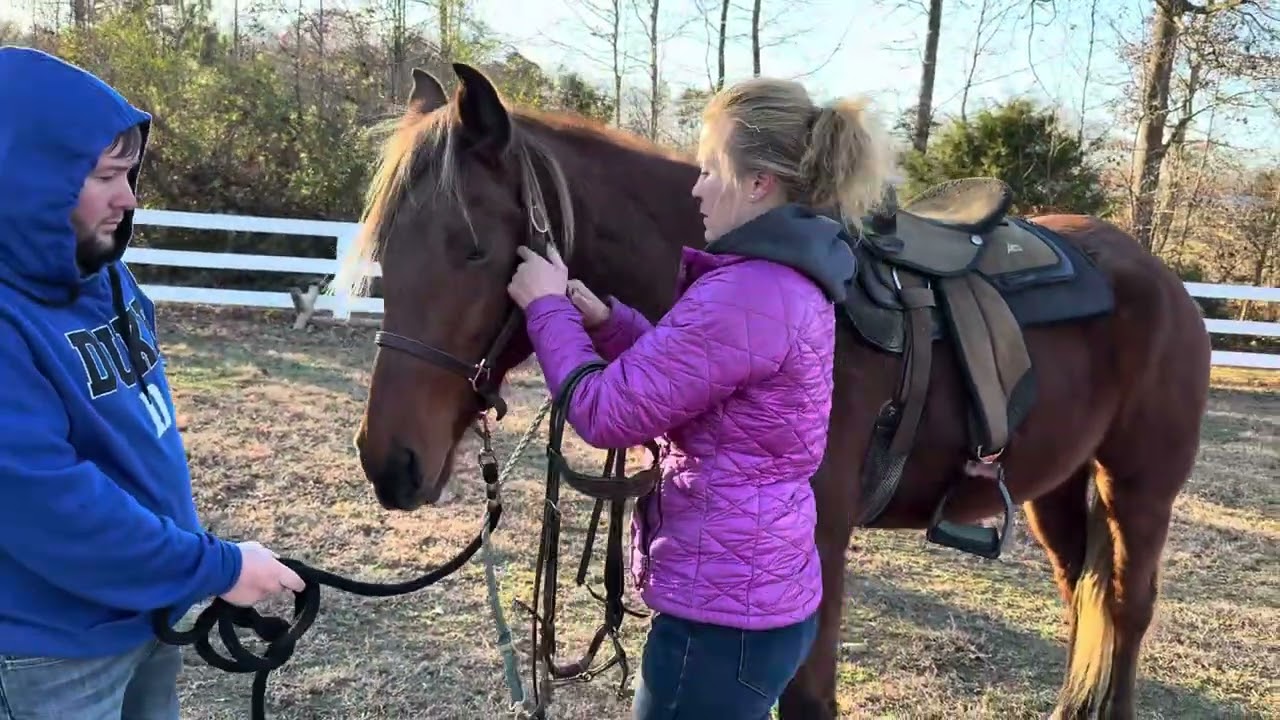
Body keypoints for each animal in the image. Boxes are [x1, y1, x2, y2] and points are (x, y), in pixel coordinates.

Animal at [335, 62, 1213, 720]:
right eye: (385, 246)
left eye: (476, 251)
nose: (389, 461)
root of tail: (1166, 280)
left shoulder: (819, 545)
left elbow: (809, 701)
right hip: (1057, 488)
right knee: (1083, 598)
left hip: (1138, 488)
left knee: (1125, 608)